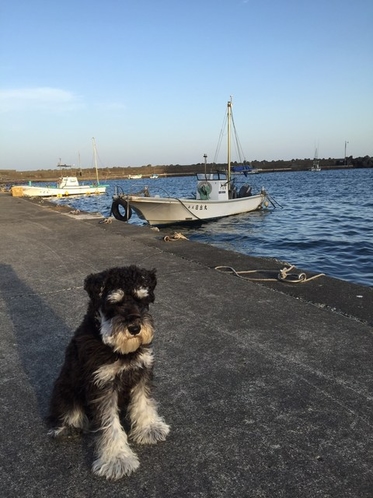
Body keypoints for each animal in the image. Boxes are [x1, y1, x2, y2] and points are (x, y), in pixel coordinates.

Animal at [46, 266, 170, 480]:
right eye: (114, 303)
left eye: (142, 300)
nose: (135, 328)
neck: (118, 349)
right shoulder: (102, 385)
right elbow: (109, 424)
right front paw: (117, 459)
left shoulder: (142, 372)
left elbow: (143, 402)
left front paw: (149, 428)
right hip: (65, 391)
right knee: (66, 413)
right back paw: (65, 428)